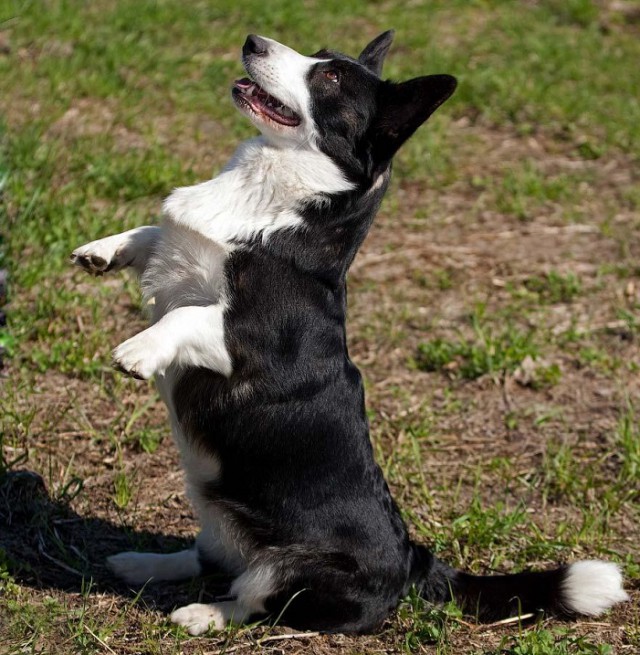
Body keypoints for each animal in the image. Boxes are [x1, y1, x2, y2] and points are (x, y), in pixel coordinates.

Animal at [70, 33, 624, 640]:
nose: (253, 40)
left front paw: (138, 350)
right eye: (318, 54)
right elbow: (152, 234)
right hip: (215, 518)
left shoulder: (250, 338)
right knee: (206, 559)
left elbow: (186, 318)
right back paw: (140, 563)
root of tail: (414, 563)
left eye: (330, 78)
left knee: (258, 600)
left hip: (291, 567)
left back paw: (202, 614)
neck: (275, 192)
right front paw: (100, 251)